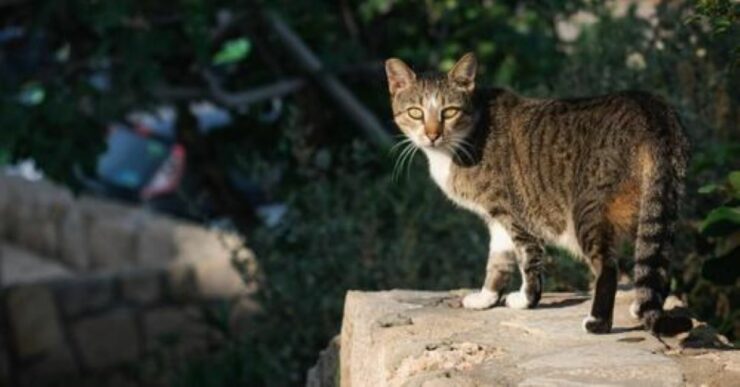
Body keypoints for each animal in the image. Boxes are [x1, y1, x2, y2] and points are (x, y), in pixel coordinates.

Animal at [388, 52, 692, 336]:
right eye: (415, 113)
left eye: (449, 112)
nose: (432, 135)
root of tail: (651, 109)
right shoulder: (496, 219)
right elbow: (497, 261)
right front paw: (487, 298)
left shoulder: (513, 213)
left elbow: (527, 258)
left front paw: (526, 300)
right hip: (657, 203)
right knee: (656, 260)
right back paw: (641, 306)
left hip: (588, 209)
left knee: (608, 267)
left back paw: (598, 322)